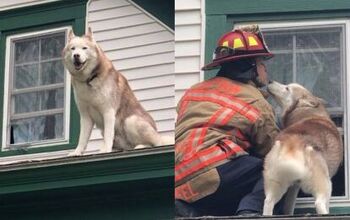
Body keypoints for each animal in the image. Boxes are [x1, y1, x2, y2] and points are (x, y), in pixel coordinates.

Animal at [63, 28, 174, 156]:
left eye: (84, 48)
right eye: (73, 48)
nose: (76, 55)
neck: (89, 79)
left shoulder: (108, 111)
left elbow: (108, 135)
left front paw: (106, 151)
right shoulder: (86, 116)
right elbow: (82, 139)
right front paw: (77, 152)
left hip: (131, 120)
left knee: (155, 143)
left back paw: (139, 146)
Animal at [262, 81, 342, 215]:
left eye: (287, 88)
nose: (269, 81)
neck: (307, 113)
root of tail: (293, 142)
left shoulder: (294, 187)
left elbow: (289, 208)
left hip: (275, 186)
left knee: (268, 202)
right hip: (325, 186)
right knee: (319, 204)